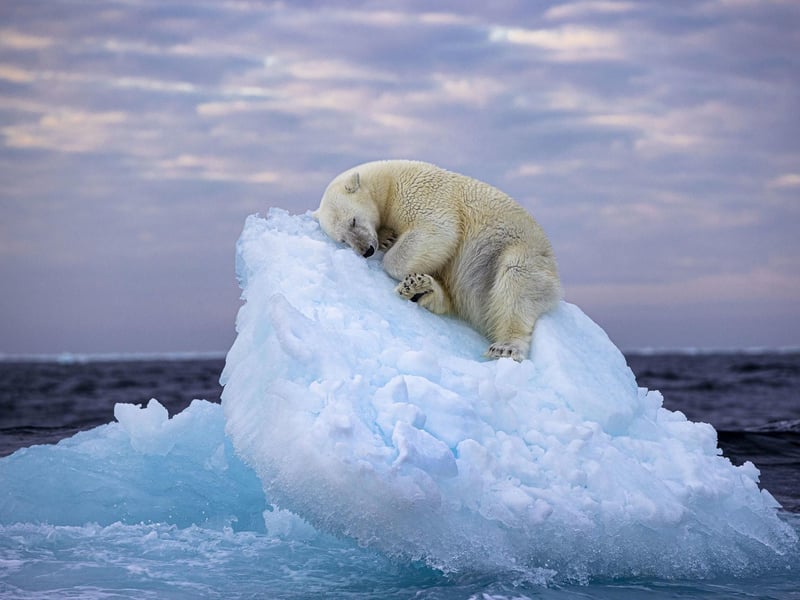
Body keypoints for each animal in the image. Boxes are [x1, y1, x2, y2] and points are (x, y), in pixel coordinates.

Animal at [313, 160, 562, 361]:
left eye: (353, 221)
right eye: (343, 239)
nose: (366, 250)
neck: (388, 181)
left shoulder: (420, 193)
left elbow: (438, 230)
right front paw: (387, 238)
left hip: (519, 251)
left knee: (516, 283)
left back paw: (506, 346)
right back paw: (421, 288)